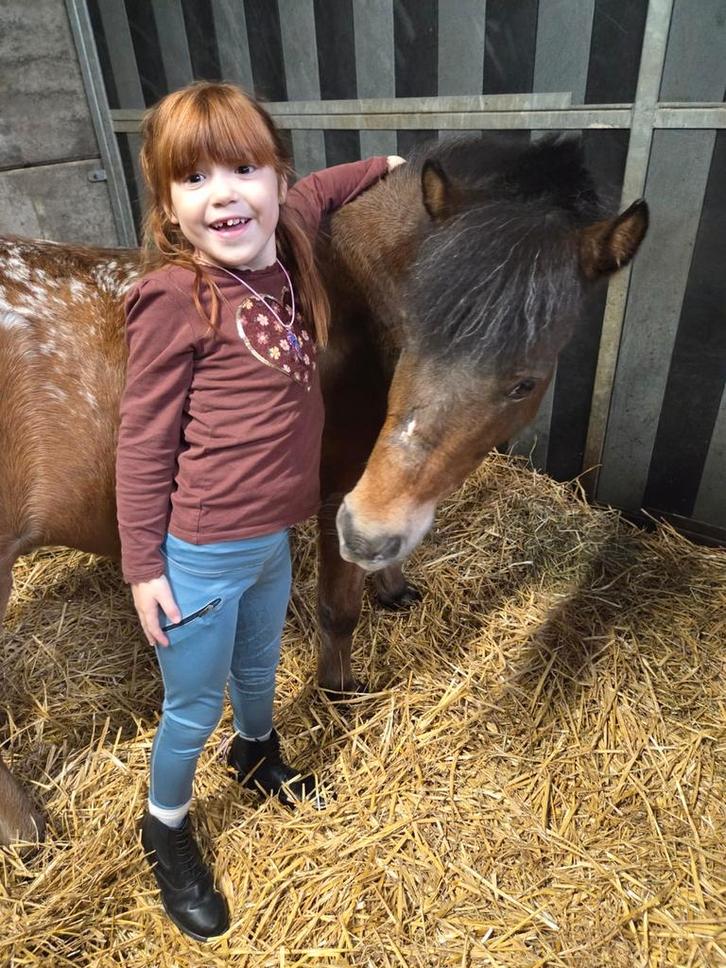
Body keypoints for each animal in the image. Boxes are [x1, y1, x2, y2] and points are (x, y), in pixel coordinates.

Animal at [0, 134, 648, 843]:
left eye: (523, 381)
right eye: (413, 340)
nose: (369, 532)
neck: (348, 295)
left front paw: (393, 587)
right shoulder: (342, 492)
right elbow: (338, 610)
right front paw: (338, 696)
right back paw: (26, 829)